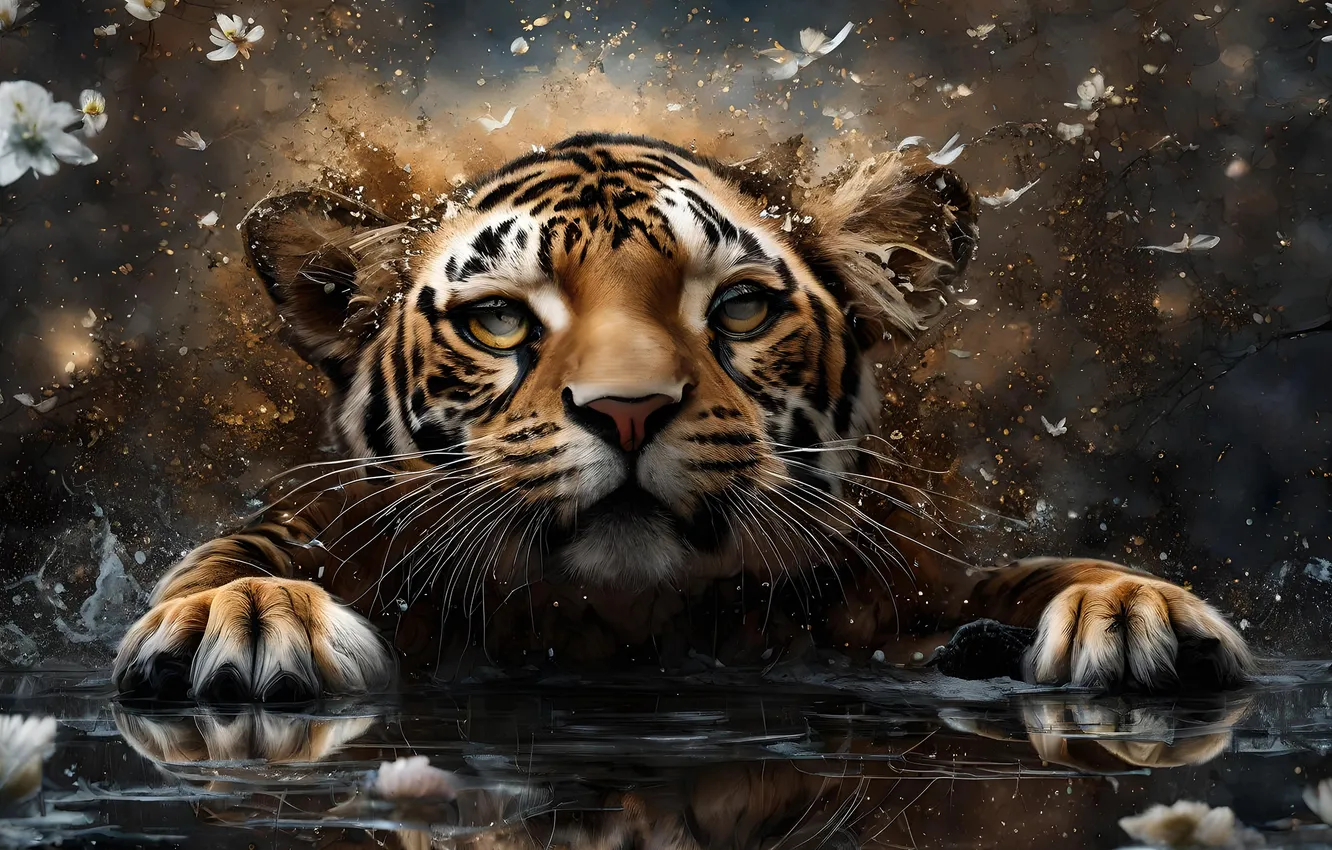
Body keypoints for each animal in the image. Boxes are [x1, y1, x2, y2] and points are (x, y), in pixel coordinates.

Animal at [111, 132, 1253, 706]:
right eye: (498, 320)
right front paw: (244, 617)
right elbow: (239, 558)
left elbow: (1019, 577)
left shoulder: (903, 589)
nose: (628, 411)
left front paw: (1132, 609)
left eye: (739, 307)